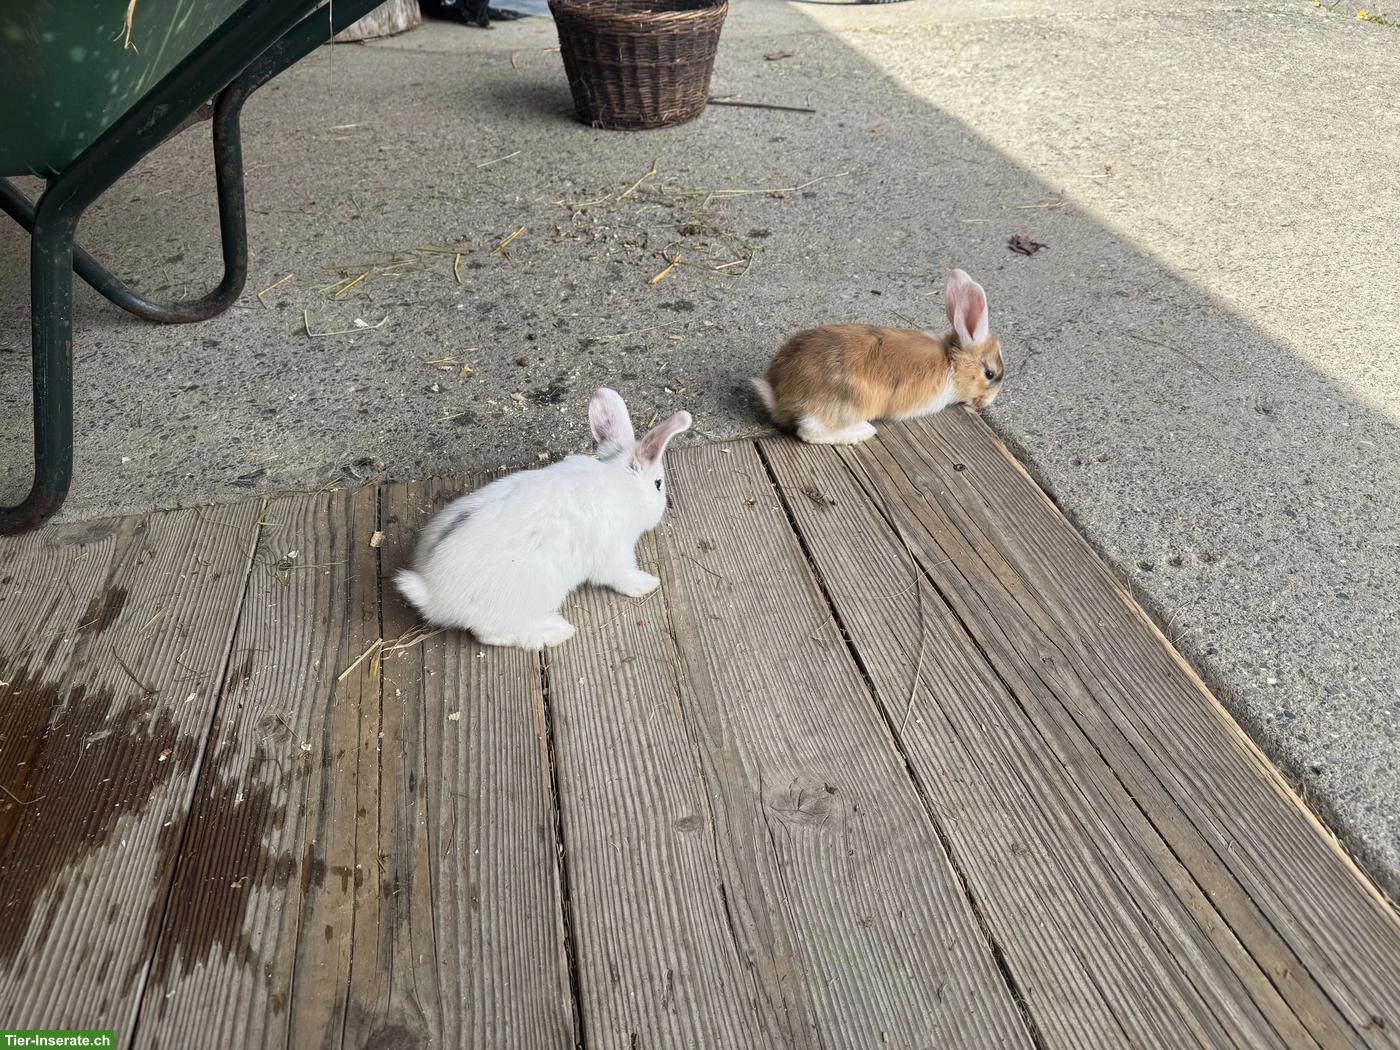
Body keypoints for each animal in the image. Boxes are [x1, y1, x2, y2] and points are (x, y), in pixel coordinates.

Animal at [395, 389, 692, 651]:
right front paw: (648, 584)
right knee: (489, 635)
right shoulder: (614, 555)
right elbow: (623, 577)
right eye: (658, 484)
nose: (663, 508)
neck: (622, 483)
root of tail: (431, 593)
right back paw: (554, 630)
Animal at [751, 269, 1005, 445]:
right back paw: (864, 431)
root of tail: (779, 395)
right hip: (850, 403)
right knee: (810, 431)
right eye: (989, 374)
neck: (952, 362)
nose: (988, 401)